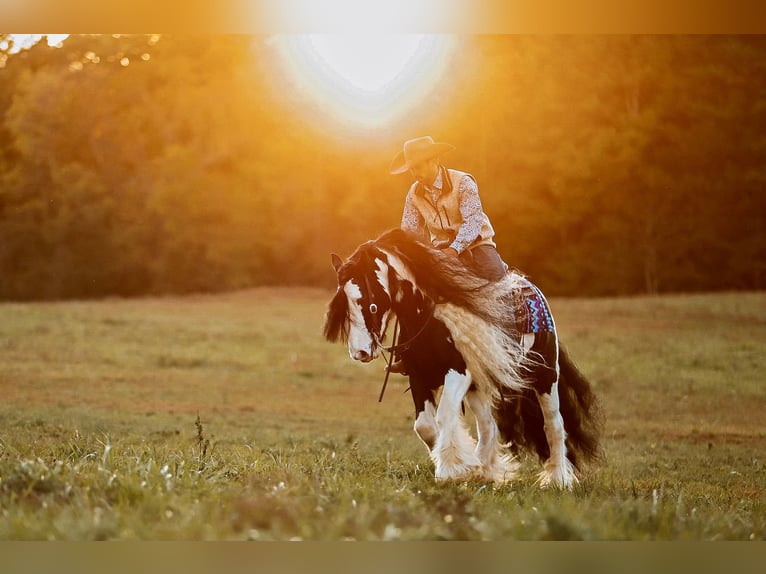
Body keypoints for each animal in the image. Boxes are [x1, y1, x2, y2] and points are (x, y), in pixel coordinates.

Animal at [320, 227, 604, 488]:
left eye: (370, 302)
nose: (359, 352)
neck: (430, 317)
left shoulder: (458, 372)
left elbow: (445, 415)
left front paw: (449, 471)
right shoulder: (419, 375)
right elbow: (425, 426)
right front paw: (459, 465)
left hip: (545, 376)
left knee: (553, 424)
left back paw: (557, 480)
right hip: (478, 386)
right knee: (489, 425)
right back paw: (484, 469)